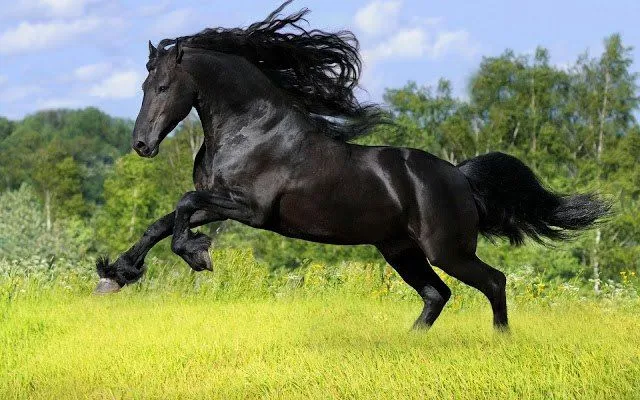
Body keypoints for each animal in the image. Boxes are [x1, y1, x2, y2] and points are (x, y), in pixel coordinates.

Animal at [95, 1, 609, 331]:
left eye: (163, 86)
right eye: (144, 86)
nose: (142, 144)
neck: (251, 129)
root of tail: (460, 176)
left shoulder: (251, 209)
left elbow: (181, 206)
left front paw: (197, 255)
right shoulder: (220, 203)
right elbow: (163, 220)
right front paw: (116, 275)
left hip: (447, 249)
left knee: (493, 282)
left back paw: (499, 341)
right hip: (400, 249)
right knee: (437, 295)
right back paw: (409, 345)